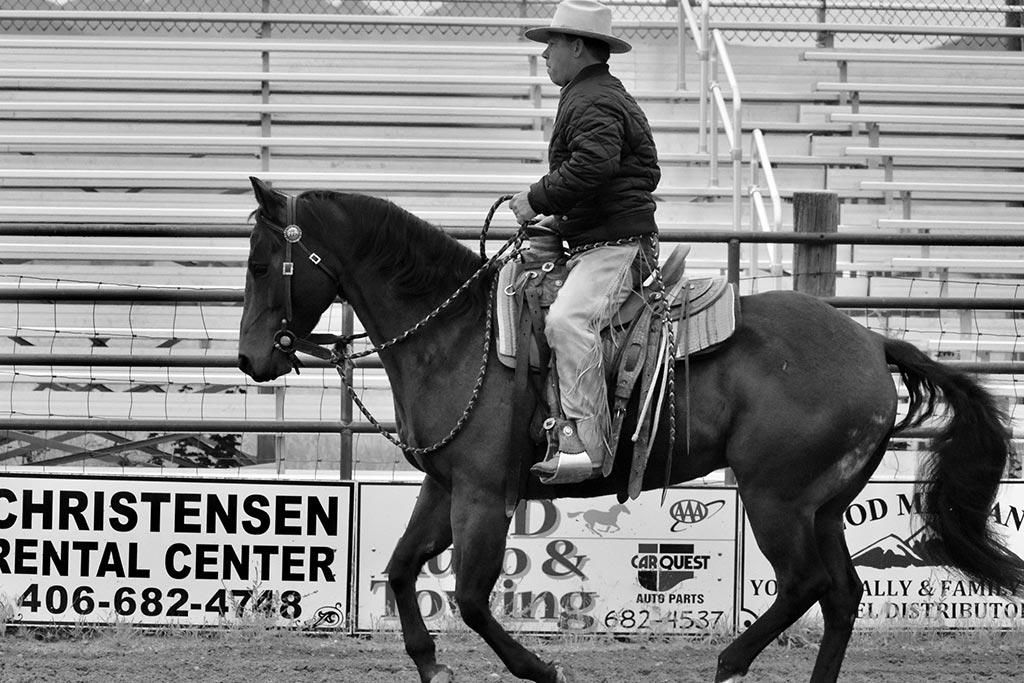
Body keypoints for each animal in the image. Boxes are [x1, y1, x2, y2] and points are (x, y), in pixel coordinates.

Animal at [235, 180, 1019, 683]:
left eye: (261, 262)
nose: (250, 359)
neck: (456, 334)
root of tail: (873, 344)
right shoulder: (445, 484)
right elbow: (401, 569)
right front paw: (430, 662)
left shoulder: (484, 495)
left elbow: (472, 595)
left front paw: (540, 666)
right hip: (822, 506)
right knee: (843, 596)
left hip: (778, 499)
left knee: (805, 584)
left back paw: (726, 663)